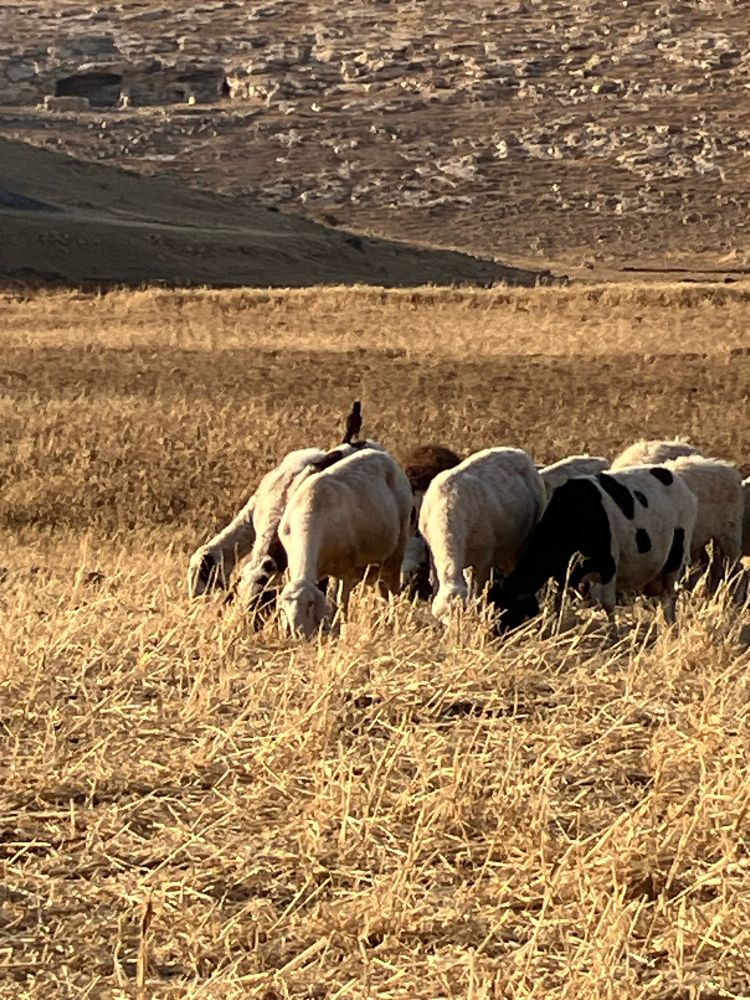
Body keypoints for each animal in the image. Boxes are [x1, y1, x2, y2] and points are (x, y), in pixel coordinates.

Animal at [277, 448, 413, 638]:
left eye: (310, 604)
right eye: (284, 608)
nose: (299, 635)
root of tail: (383, 455)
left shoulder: (346, 570)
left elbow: (341, 601)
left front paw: (340, 632)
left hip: (397, 549)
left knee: (393, 588)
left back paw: (395, 621)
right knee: (381, 589)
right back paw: (384, 622)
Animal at [418, 447, 545, 624]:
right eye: (442, 619)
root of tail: (517, 451)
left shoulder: (483, 560)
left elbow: (477, 595)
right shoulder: (432, 552)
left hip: (522, 541)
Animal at [491, 465, 697, 630]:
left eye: (507, 611)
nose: (493, 635)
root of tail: (671, 476)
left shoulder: (609, 564)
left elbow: (607, 604)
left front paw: (613, 633)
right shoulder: (563, 573)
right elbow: (559, 603)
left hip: (675, 558)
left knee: (669, 597)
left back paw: (671, 626)